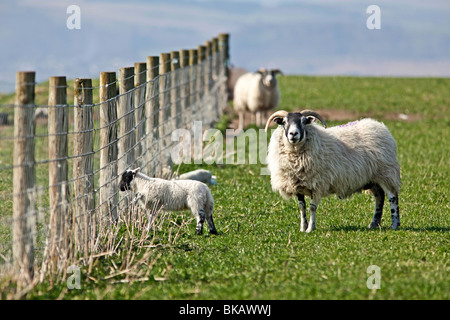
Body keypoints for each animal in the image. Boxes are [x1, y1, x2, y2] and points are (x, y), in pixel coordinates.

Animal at [264, 110, 400, 232]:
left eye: (303, 121)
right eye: (284, 122)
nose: (293, 134)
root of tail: (379, 126)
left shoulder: (317, 184)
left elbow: (312, 208)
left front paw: (310, 229)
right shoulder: (297, 184)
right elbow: (302, 207)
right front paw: (303, 228)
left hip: (386, 173)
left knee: (392, 197)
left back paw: (395, 224)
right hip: (372, 179)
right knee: (379, 197)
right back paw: (374, 223)